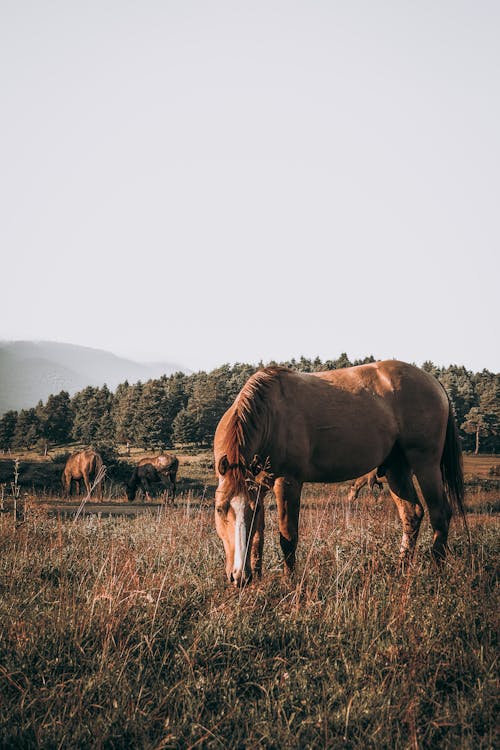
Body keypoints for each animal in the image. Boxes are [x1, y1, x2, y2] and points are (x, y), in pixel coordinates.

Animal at [213, 362, 466, 588]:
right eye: (219, 509)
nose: (239, 577)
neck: (271, 415)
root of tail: (435, 383)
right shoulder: (260, 485)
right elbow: (258, 535)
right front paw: (257, 576)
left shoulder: (287, 482)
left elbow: (288, 535)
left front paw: (289, 582)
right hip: (397, 469)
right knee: (411, 514)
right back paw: (400, 570)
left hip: (426, 465)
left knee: (440, 514)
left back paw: (436, 571)